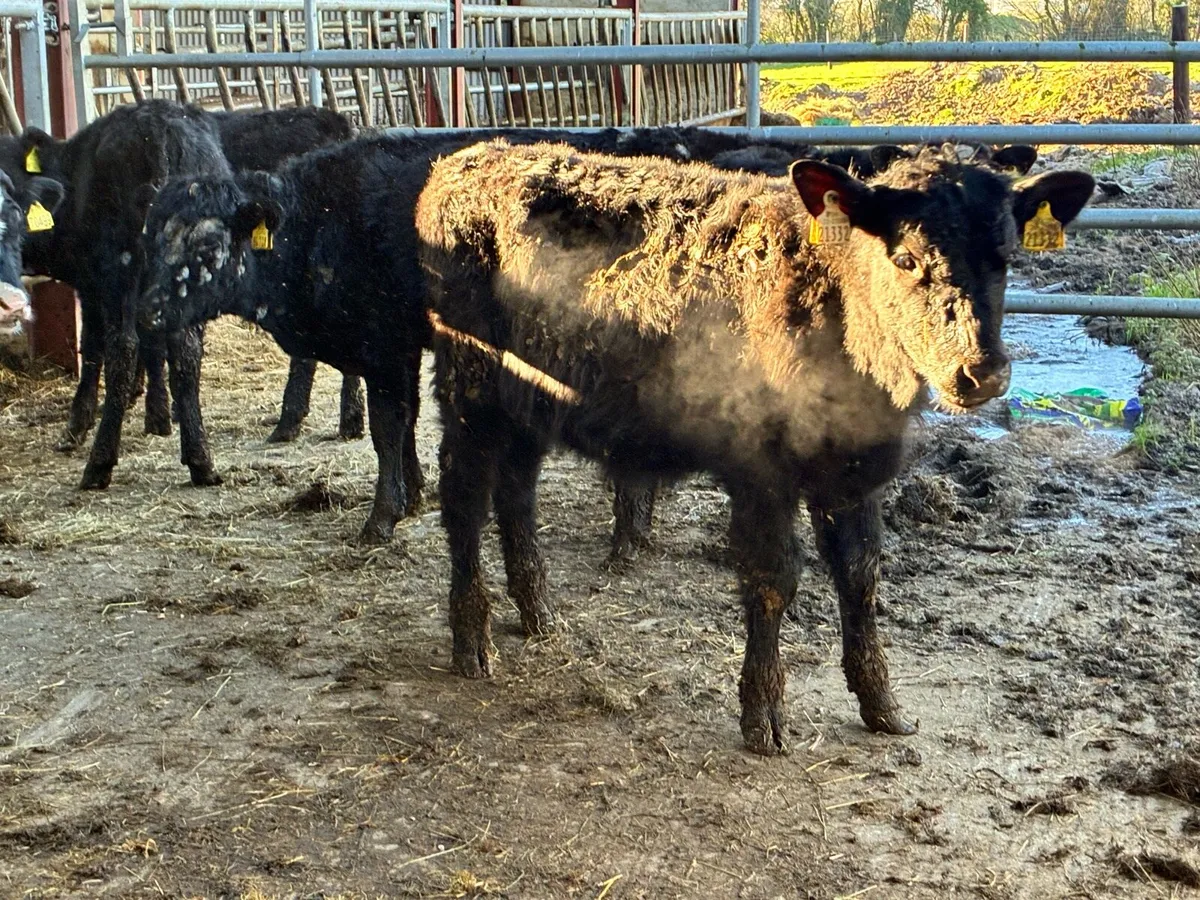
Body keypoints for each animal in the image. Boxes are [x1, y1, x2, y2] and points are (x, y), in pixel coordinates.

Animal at [415, 140, 1094, 754]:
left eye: (1005, 255)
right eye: (904, 258)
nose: (981, 373)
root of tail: (470, 157)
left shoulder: (856, 471)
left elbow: (861, 574)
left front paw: (882, 706)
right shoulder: (762, 469)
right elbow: (774, 579)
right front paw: (763, 714)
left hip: (526, 403)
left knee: (516, 492)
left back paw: (538, 612)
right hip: (468, 389)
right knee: (463, 496)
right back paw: (472, 640)